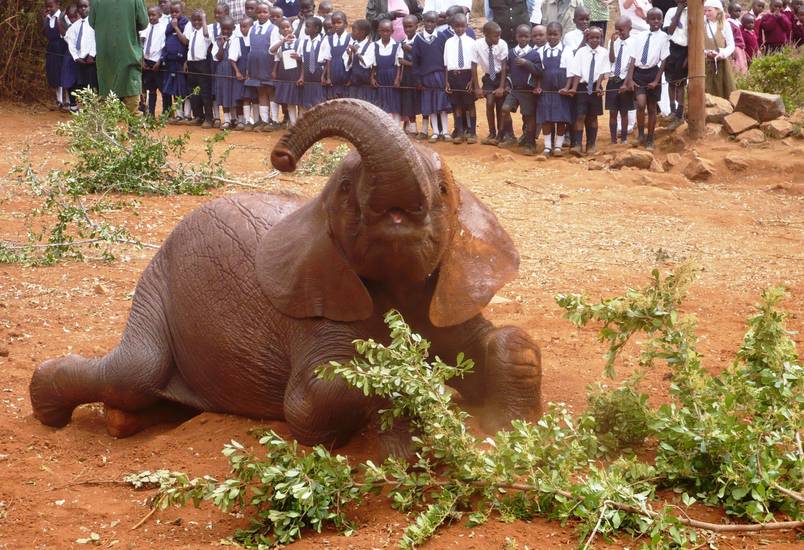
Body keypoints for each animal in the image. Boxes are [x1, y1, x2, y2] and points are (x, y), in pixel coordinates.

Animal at [33, 99, 548, 452]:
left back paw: (123, 420)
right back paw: (49, 408)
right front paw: (428, 397)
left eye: (442, 189)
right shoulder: (313, 309)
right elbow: (311, 400)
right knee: (135, 369)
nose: (282, 156)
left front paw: (504, 423)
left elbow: (509, 341)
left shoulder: (449, 290)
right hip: (157, 284)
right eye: (344, 190)